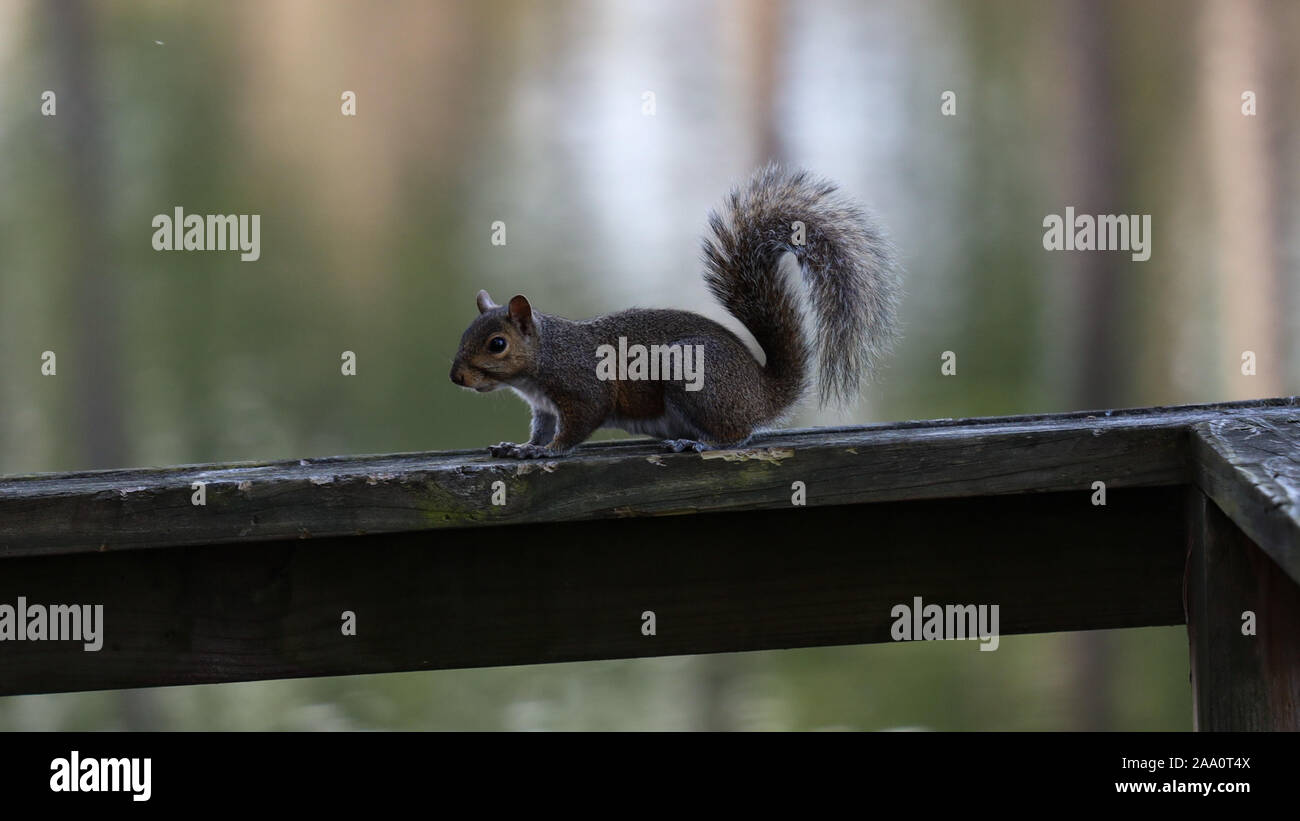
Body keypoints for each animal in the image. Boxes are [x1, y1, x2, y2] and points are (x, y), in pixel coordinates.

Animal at [452, 163, 899, 459]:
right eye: (465, 334)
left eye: (497, 344)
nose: (457, 377)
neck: (544, 357)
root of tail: (763, 395)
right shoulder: (544, 408)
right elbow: (541, 430)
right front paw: (520, 446)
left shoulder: (583, 389)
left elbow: (576, 427)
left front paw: (547, 452)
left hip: (693, 376)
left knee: (736, 435)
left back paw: (696, 441)